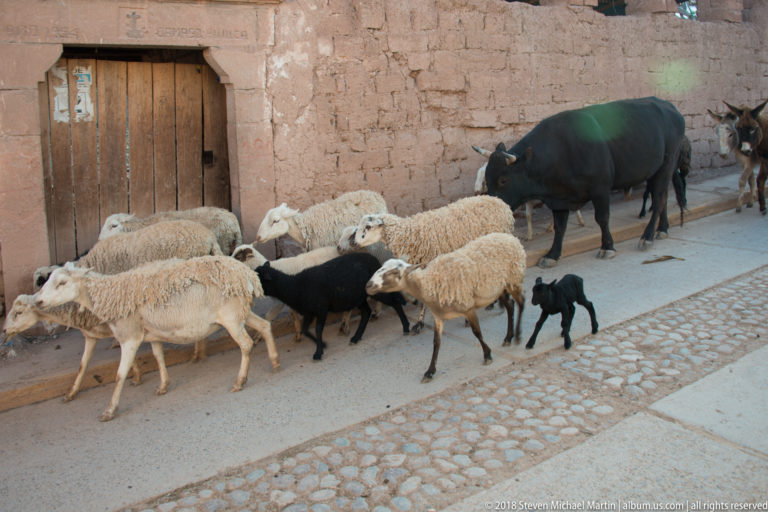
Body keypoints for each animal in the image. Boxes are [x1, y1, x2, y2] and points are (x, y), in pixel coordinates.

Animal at [2, 294, 156, 402]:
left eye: (18, 312)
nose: (4, 330)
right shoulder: (91, 336)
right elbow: (83, 365)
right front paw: (71, 392)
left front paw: (137, 376)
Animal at [34, 256, 279, 421]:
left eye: (62, 283)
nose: (38, 302)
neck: (109, 294)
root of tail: (247, 275)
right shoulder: (151, 334)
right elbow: (158, 356)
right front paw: (163, 385)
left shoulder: (130, 335)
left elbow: (119, 374)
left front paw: (109, 410)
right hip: (241, 312)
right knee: (265, 326)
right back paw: (275, 362)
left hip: (230, 316)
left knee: (246, 344)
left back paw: (240, 381)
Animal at [255, 252, 410, 361]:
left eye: (259, 279)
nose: (251, 293)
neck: (295, 286)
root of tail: (375, 260)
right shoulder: (309, 312)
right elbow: (305, 330)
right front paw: (322, 345)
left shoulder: (321, 309)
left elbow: (318, 329)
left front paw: (318, 353)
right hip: (358, 297)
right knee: (366, 312)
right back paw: (356, 337)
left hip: (375, 291)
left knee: (395, 302)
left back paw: (406, 327)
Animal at [351, 194, 515, 333]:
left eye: (368, 227)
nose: (353, 241)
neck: (412, 235)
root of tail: (500, 201)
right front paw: (420, 322)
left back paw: (496, 303)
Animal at [365, 232, 526, 382]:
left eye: (393, 272)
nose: (368, 285)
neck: (428, 283)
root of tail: (510, 237)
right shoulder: (439, 317)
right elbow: (436, 343)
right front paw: (429, 372)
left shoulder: (468, 308)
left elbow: (477, 332)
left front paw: (487, 355)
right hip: (499, 287)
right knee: (510, 306)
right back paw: (508, 337)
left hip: (514, 278)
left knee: (521, 302)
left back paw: (518, 336)